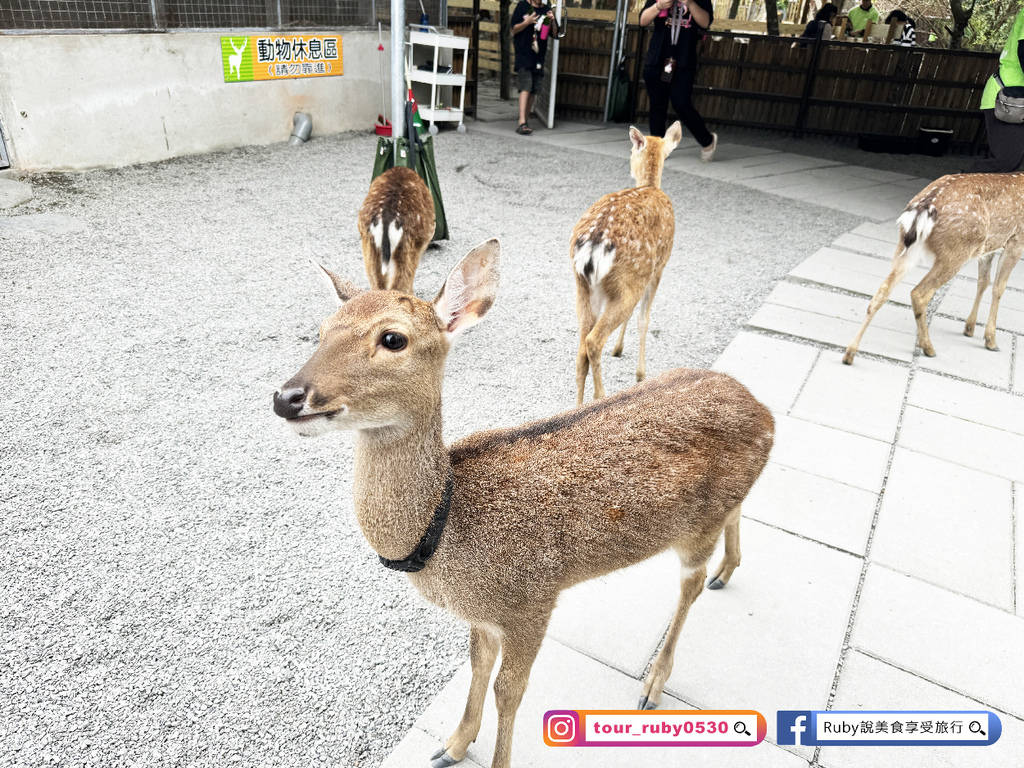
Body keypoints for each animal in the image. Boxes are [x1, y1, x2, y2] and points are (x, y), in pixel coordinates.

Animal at [272, 240, 774, 768]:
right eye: (321, 331)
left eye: (393, 338)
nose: (287, 397)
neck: (446, 530)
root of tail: (765, 412)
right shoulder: (485, 615)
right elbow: (477, 664)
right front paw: (451, 745)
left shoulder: (533, 599)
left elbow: (508, 690)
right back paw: (728, 570)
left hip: (697, 528)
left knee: (690, 584)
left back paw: (654, 682)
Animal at [573, 119, 684, 405]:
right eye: (632, 150)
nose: (630, 170)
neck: (651, 185)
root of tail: (594, 244)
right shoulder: (658, 268)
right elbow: (644, 318)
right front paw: (641, 373)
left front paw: (619, 349)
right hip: (628, 280)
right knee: (593, 341)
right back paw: (601, 397)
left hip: (583, 287)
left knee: (581, 349)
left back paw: (577, 406)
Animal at [839, 174, 1024, 366]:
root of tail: (922, 208)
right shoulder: (1016, 241)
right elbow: (999, 288)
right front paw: (990, 340)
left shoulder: (988, 248)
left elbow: (983, 281)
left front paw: (969, 328)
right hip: (956, 250)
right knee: (919, 293)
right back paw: (928, 347)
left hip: (905, 245)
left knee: (884, 288)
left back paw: (850, 353)